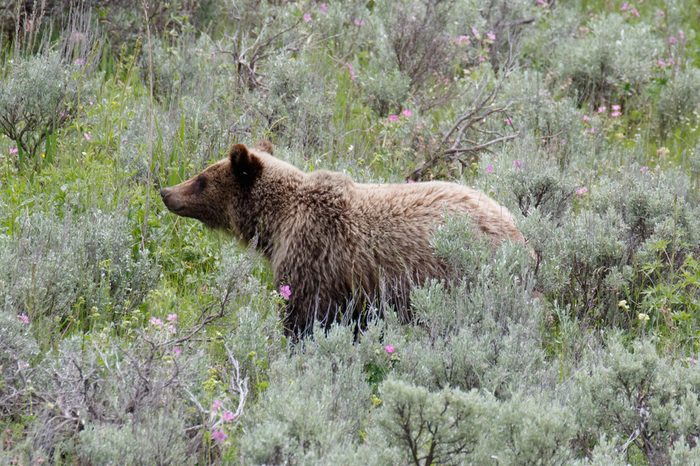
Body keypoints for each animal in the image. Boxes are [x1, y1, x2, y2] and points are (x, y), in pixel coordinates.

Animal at [160, 142, 529, 339]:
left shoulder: (315, 259)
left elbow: (304, 319)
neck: (278, 223)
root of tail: (517, 231)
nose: (166, 191)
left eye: (202, 179)